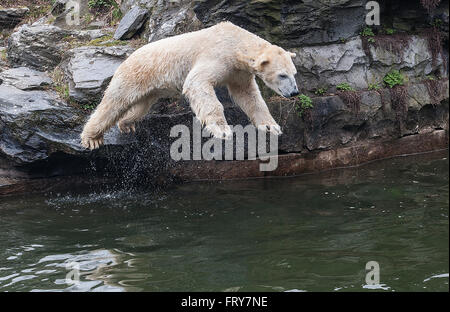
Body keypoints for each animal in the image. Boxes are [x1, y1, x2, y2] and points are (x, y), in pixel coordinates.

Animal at [81, 21, 298, 149]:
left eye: (294, 73)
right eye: (282, 75)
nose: (295, 92)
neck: (235, 43)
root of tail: (128, 58)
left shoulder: (239, 71)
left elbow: (249, 96)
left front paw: (271, 127)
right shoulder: (217, 55)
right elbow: (197, 83)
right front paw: (223, 131)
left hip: (149, 88)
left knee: (140, 106)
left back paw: (126, 124)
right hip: (135, 75)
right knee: (114, 102)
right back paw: (92, 138)